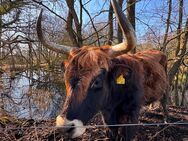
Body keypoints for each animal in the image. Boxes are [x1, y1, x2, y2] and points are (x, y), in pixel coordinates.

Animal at [36, 0, 168, 140]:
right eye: (65, 77)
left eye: (97, 81)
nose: (64, 127)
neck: (115, 100)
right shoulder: (107, 116)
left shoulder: (131, 115)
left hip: (166, 87)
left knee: (164, 101)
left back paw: (166, 120)